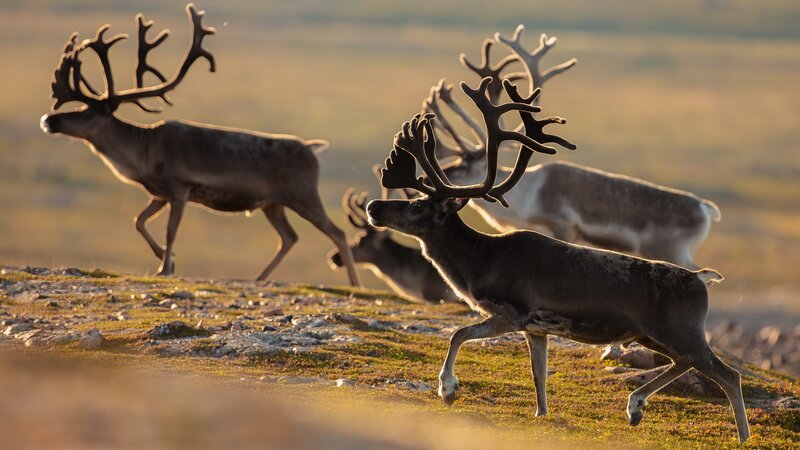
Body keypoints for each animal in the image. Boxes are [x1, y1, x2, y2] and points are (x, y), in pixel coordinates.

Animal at [38, 4, 361, 286]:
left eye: (87, 111)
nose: (49, 119)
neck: (142, 155)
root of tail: (313, 148)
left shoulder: (180, 188)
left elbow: (170, 231)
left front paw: (165, 268)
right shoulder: (159, 193)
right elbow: (138, 220)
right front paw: (166, 260)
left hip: (303, 193)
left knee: (337, 233)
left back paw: (355, 284)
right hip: (273, 203)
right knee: (289, 237)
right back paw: (259, 277)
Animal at [365, 77, 750, 442]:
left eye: (417, 205)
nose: (373, 206)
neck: (476, 261)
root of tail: (702, 279)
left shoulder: (512, 312)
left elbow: (458, 334)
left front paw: (447, 389)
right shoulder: (536, 328)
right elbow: (538, 373)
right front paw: (541, 414)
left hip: (683, 330)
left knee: (728, 374)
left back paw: (740, 435)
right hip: (654, 335)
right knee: (686, 363)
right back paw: (635, 406)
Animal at [423, 25, 720, 269]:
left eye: (463, 166)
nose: (423, 183)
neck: (525, 195)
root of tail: (705, 208)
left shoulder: (563, 226)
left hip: (671, 251)